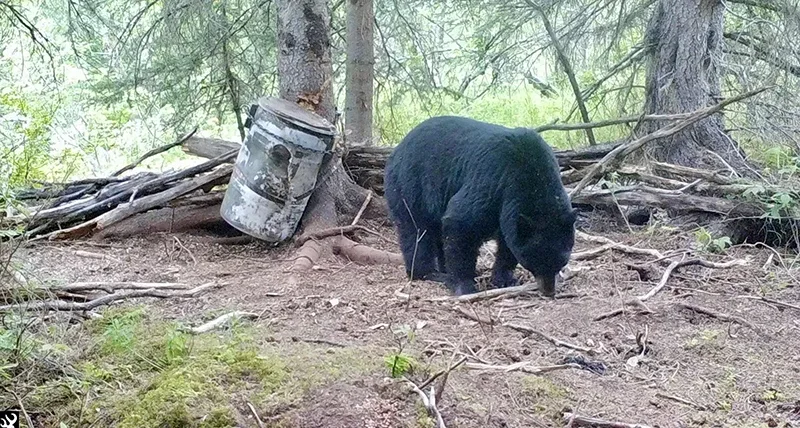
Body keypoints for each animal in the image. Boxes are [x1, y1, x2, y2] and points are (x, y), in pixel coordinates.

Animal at [383, 115, 576, 296]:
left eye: (562, 262)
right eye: (535, 261)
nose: (549, 290)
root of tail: (397, 149)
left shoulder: (509, 210)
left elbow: (507, 243)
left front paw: (505, 279)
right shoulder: (492, 181)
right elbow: (460, 221)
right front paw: (464, 285)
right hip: (410, 187)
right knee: (415, 231)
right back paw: (429, 273)